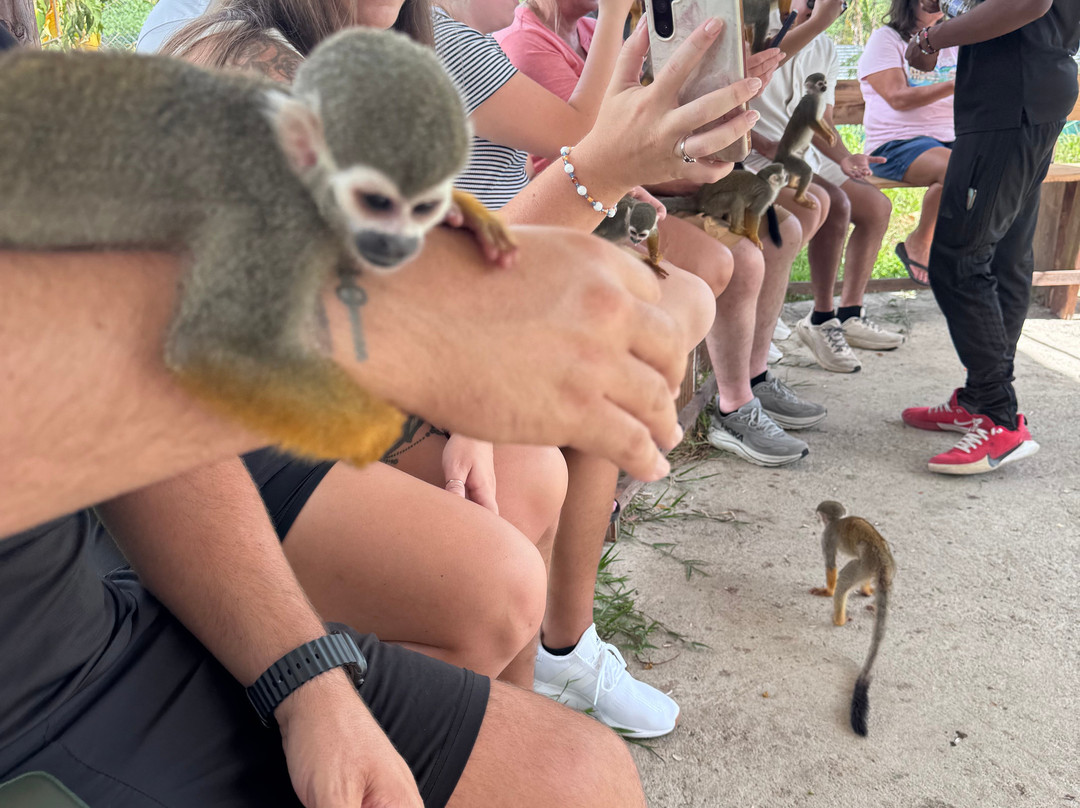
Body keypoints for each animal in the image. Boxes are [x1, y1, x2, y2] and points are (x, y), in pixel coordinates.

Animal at [0, 27, 513, 468]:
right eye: (377, 202)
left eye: (423, 207)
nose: (398, 246)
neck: (295, 166)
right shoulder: (278, 217)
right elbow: (217, 345)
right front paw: (384, 432)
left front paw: (465, 213)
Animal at [657, 163, 788, 250]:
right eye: (784, 175)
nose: (788, 178)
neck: (768, 183)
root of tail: (698, 199)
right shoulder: (766, 194)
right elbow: (752, 211)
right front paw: (754, 237)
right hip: (712, 204)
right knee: (736, 197)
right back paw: (736, 229)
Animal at [773, 72, 837, 210]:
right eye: (820, 84)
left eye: (825, 82)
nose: (825, 87)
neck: (816, 95)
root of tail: (778, 157)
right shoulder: (811, 103)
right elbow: (812, 121)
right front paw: (828, 137)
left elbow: (821, 120)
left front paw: (832, 135)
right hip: (789, 161)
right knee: (806, 171)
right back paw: (799, 199)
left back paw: (792, 185)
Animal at [811, 500, 896, 737]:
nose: (815, 518)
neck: (837, 521)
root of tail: (883, 562)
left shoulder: (827, 535)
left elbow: (830, 565)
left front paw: (827, 591)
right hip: (879, 568)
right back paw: (867, 591)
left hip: (865, 563)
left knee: (844, 578)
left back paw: (838, 618)